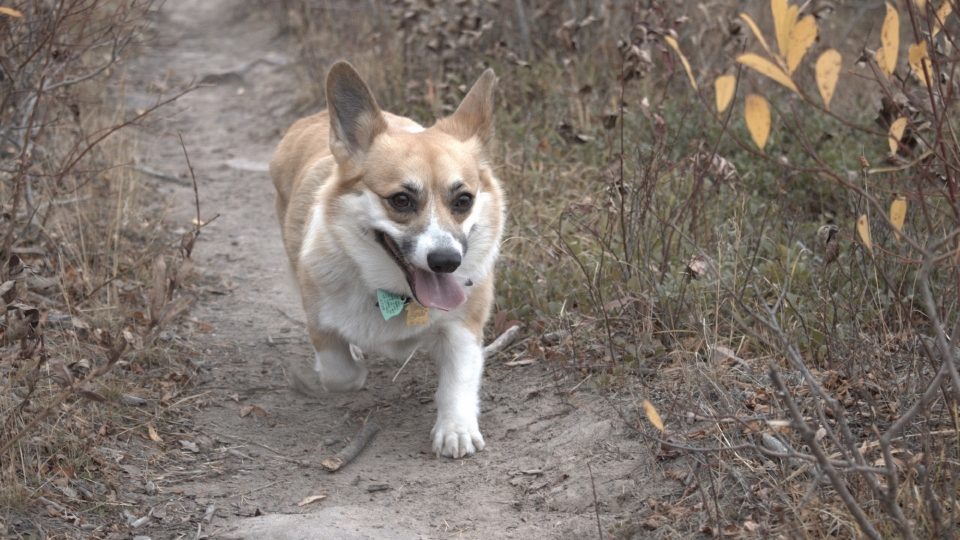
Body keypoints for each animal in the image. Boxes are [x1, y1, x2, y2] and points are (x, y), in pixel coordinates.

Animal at [266, 63, 498, 460]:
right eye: (401, 200)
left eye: (463, 200)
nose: (446, 261)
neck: (395, 294)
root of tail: (312, 118)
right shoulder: (319, 321)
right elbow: (341, 374)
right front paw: (351, 365)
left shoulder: (463, 326)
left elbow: (459, 378)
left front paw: (455, 430)